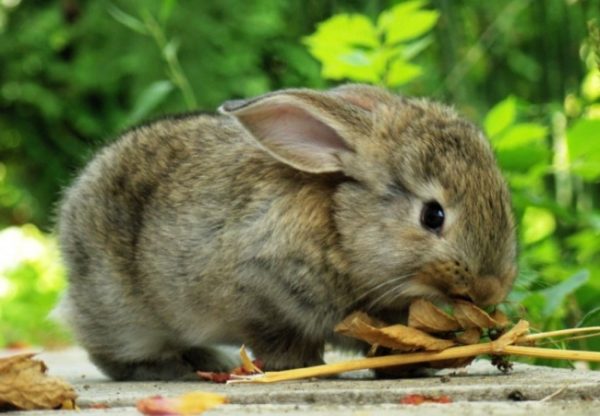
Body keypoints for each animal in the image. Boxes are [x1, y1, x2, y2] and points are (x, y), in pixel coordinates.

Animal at [55, 83, 516, 380]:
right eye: (432, 216)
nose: (491, 289)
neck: (341, 229)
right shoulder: (261, 294)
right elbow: (279, 339)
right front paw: (302, 366)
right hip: (121, 310)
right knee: (113, 352)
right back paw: (178, 365)